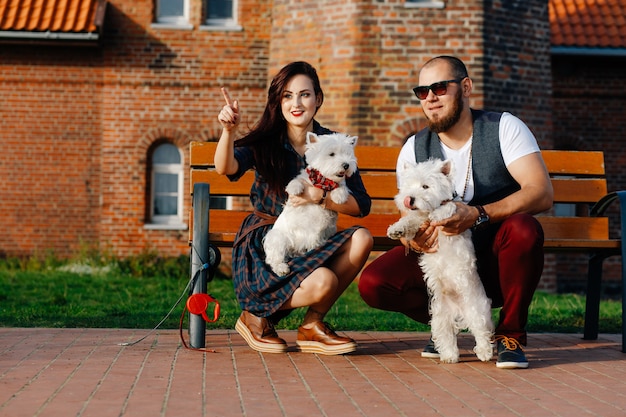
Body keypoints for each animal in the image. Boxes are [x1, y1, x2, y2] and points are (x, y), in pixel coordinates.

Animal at [260, 132, 356, 276]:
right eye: (331, 154)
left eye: (347, 153)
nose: (346, 165)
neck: (324, 181)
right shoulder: (304, 180)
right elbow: (297, 180)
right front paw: (294, 188)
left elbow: (341, 185)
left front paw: (339, 196)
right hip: (278, 238)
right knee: (274, 258)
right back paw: (282, 269)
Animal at [386, 158, 492, 362]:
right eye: (408, 185)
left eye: (425, 186)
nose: (409, 199)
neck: (427, 211)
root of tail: (458, 311)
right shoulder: (418, 220)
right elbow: (410, 220)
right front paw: (396, 229)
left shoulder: (453, 211)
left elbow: (448, 207)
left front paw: (438, 213)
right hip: (440, 316)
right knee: (447, 336)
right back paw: (450, 356)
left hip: (476, 308)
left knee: (481, 330)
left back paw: (485, 353)